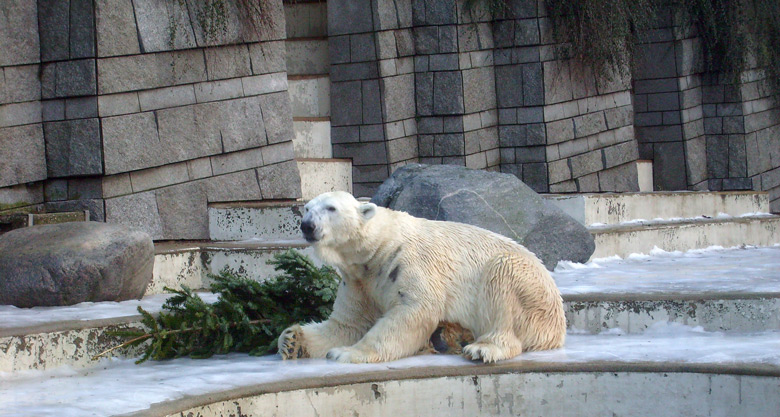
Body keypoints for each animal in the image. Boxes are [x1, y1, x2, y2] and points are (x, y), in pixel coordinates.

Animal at [278, 191, 564, 360]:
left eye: (331, 208)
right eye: (307, 208)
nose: (307, 226)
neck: (379, 247)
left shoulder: (408, 262)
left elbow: (414, 309)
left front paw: (345, 353)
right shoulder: (359, 281)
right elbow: (347, 324)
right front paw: (291, 340)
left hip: (530, 289)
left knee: (502, 285)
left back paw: (482, 347)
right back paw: (448, 337)